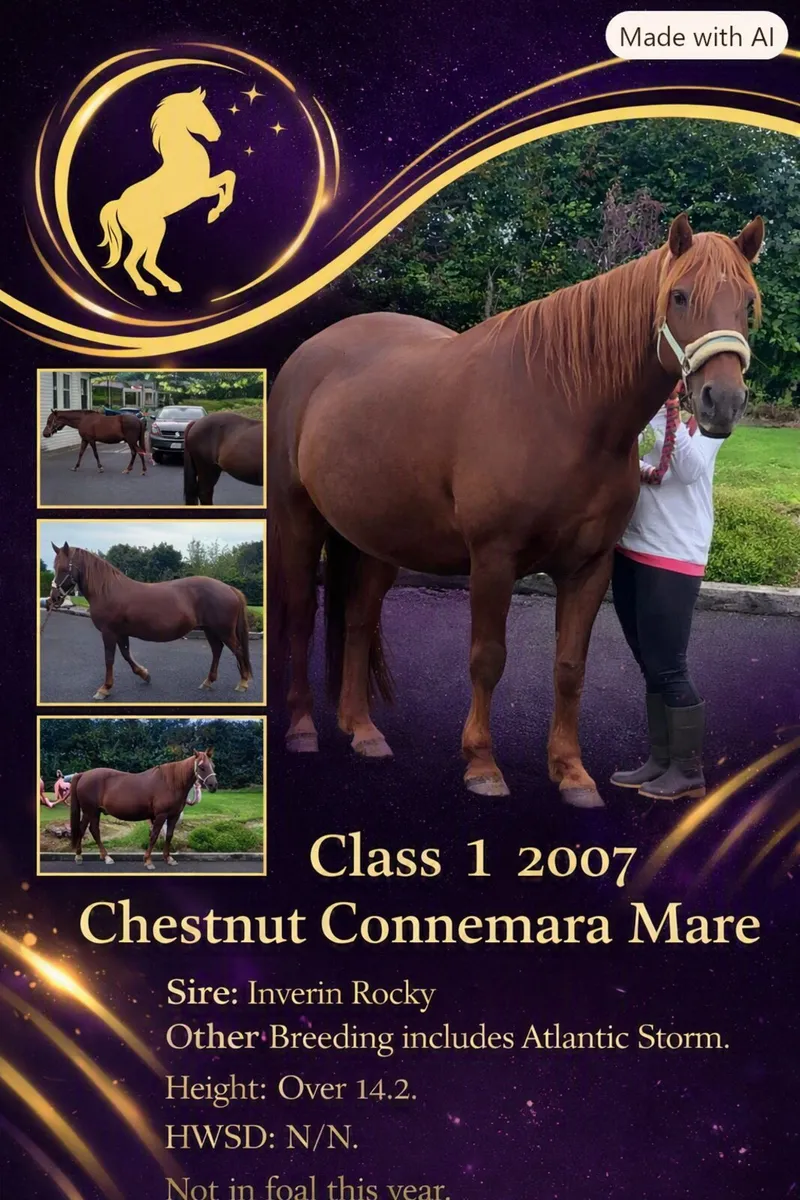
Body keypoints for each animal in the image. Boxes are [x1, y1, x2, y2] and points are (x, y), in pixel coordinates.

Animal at [48, 543, 253, 700]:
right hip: (210, 629)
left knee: (237, 650)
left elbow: (109, 659)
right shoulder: (121, 633)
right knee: (217, 650)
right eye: (54, 567)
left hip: (223, 630)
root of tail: (229, 588)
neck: (108, 590)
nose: (53, 599)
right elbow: (126, 655)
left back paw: (243, 683)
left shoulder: (109, 632)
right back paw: (208, 681)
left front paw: (104, 689)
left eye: (64, 569)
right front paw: (145, 675)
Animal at [70, 750, 218, 869]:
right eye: (201, 766)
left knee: (85, 829)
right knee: (91, 830)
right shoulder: (160, 815)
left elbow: (169, 835)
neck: (171, 783)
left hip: (91, 812)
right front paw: (148, 861)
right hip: (91, 811)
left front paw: (168, 858)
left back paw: (85, 856)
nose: (213, 785)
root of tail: (83, 774)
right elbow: (154, 836)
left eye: (213, 765)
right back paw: (101, 857)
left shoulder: (173, 816)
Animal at [98, 87, 236, 296]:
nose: (217, 134)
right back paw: (154, 288)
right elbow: (225, 182)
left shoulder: (204, 188)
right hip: (151, 232)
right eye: (199, 112)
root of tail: (119, 204)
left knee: (143, 263)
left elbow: (229, 177)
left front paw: (215, 213)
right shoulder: (201, 189)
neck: (184, 155)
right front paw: (214, 214)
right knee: (136, 262)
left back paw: (165, 285)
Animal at [268, 213, 763, 809]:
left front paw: (571, 773)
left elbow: (570, 667)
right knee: (302, 615)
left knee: (360, 620)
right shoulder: (493, 559)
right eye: (680, 295)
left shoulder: (590, 567)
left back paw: (362, 730)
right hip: (300, 519)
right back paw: (302, 729)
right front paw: (482, 765)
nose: (723, 401)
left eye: (749, 304)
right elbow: (488, 658)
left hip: (377, 537)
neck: (565, 409)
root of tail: (308, 354)